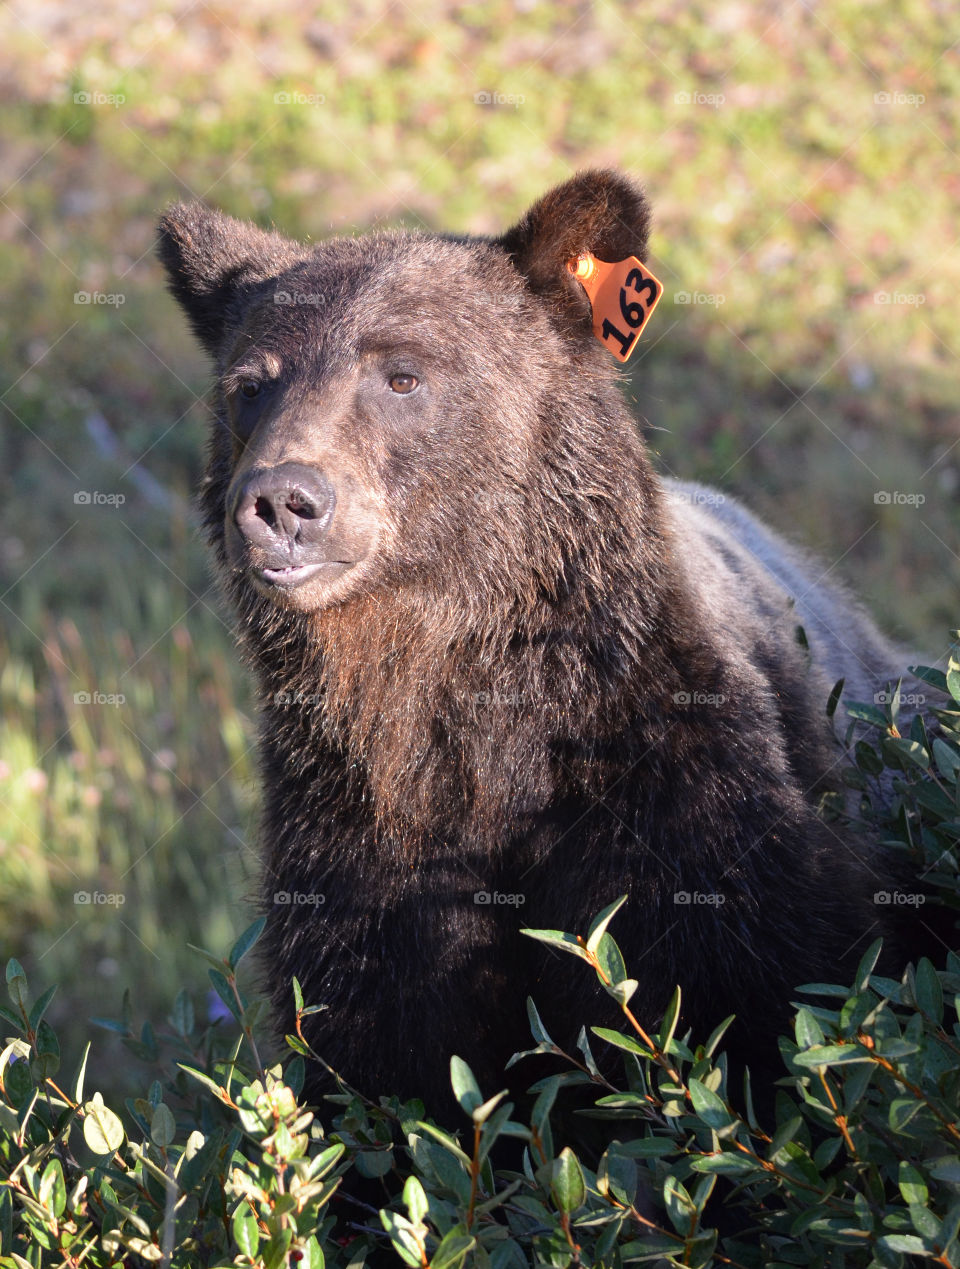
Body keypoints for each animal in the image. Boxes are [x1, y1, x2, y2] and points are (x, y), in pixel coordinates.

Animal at [157, 170, 908, 1123]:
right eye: (251, 385)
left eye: (402, 374)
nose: (281, 501)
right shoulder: (355, 841)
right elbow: (386, 1068)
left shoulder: (673, 797)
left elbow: (748, 1015)